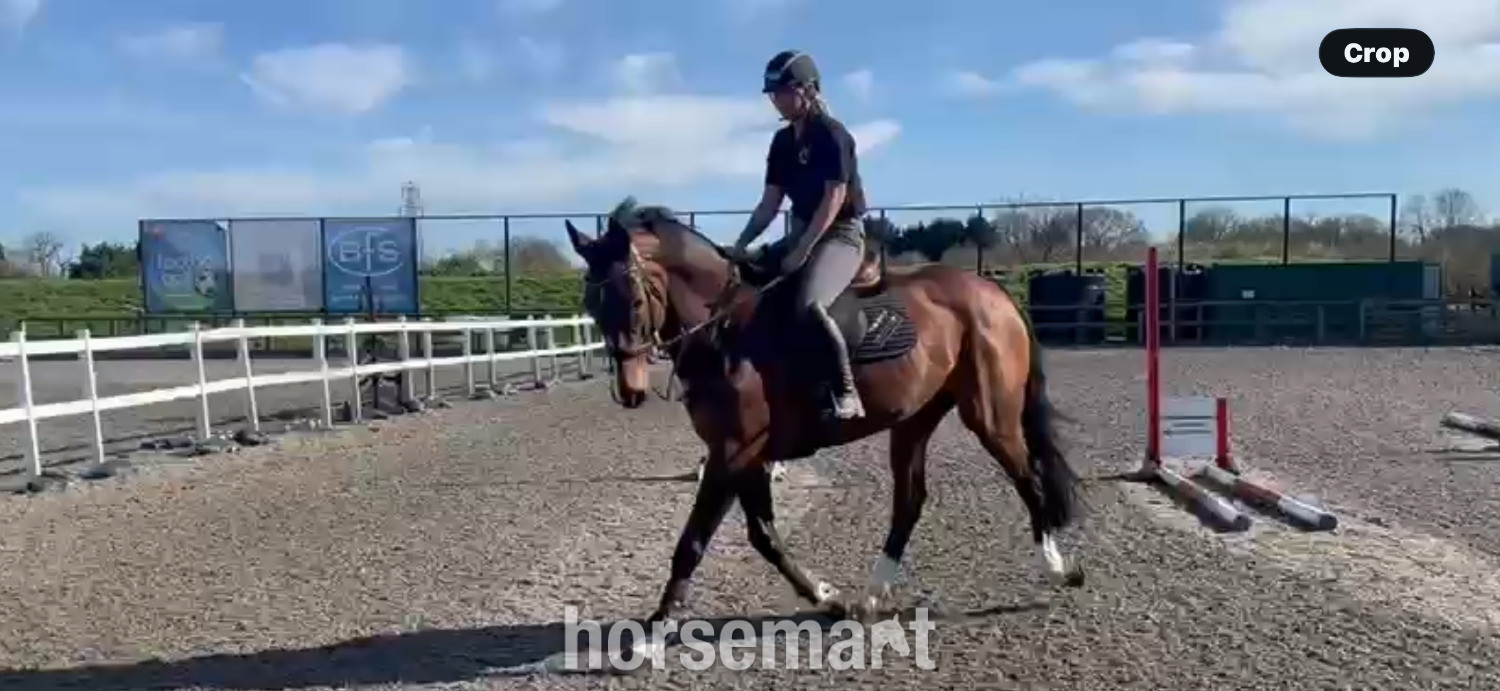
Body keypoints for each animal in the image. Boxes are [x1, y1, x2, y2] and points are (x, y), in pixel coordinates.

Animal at [564, 199, 1085, 622]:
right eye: (591, 303)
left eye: (633, 299)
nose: (629, 390)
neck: (726, 330)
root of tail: (992, 293)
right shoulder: (743, 455)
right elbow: (764, 536)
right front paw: (826, 596)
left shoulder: (732, 451)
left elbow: (693, 541)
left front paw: (652, 632)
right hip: (914, 419)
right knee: (910, 501)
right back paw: (872, 595)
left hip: (990, 415)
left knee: (1028, 479)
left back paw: (1059, 569)